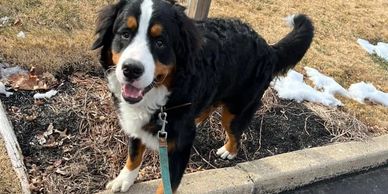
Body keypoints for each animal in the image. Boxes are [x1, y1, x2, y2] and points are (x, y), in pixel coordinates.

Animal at [91, 0, 316, 192]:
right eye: (125, 34)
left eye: (160, 42)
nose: (131, 69)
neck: (164, 96)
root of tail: (267, 48)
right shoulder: (135, 126)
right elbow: (134, 154)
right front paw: (124, 180)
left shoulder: (180, 148)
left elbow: (166, 185)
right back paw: (199, 120)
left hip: (236, 110)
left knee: (234, 132)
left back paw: (228, 150)